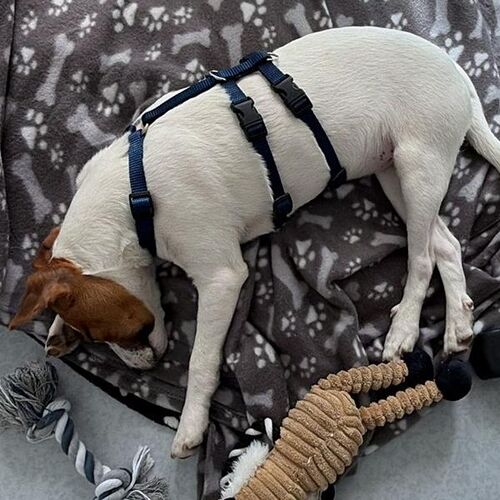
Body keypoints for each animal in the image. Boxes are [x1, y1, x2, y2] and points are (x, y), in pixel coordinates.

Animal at [10, 27, 500, 458]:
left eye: (122, 332)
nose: (143, 367)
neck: (134, 192)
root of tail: (461, 76)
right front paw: (56, 330)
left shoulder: (222, 278)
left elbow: (200, 360)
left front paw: (191, 425)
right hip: (394, 175)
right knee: (445, 245)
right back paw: (458, 322)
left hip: (418, 167)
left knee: (421, 258)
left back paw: (404, 330)